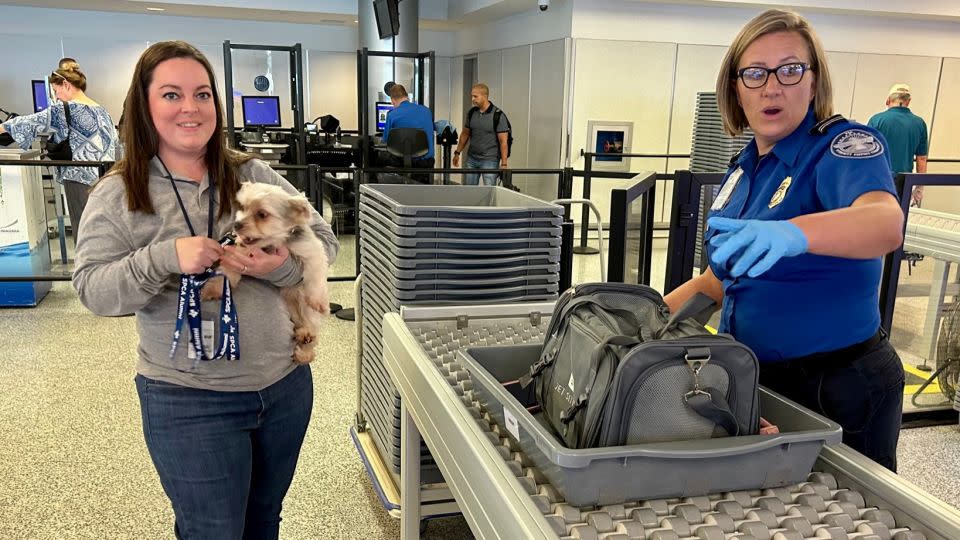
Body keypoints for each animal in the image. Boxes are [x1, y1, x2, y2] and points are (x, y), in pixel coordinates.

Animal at [205, 184, 330, 364]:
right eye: (243, 207)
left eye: (262, 214)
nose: (236, 224)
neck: (275, 242)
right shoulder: (239, 251)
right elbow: (228, 269)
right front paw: (215, 287)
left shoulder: (312, 251)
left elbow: (315, 274)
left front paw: (318, 300)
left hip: (303, 305)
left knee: (311, 326)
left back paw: (306, 345)